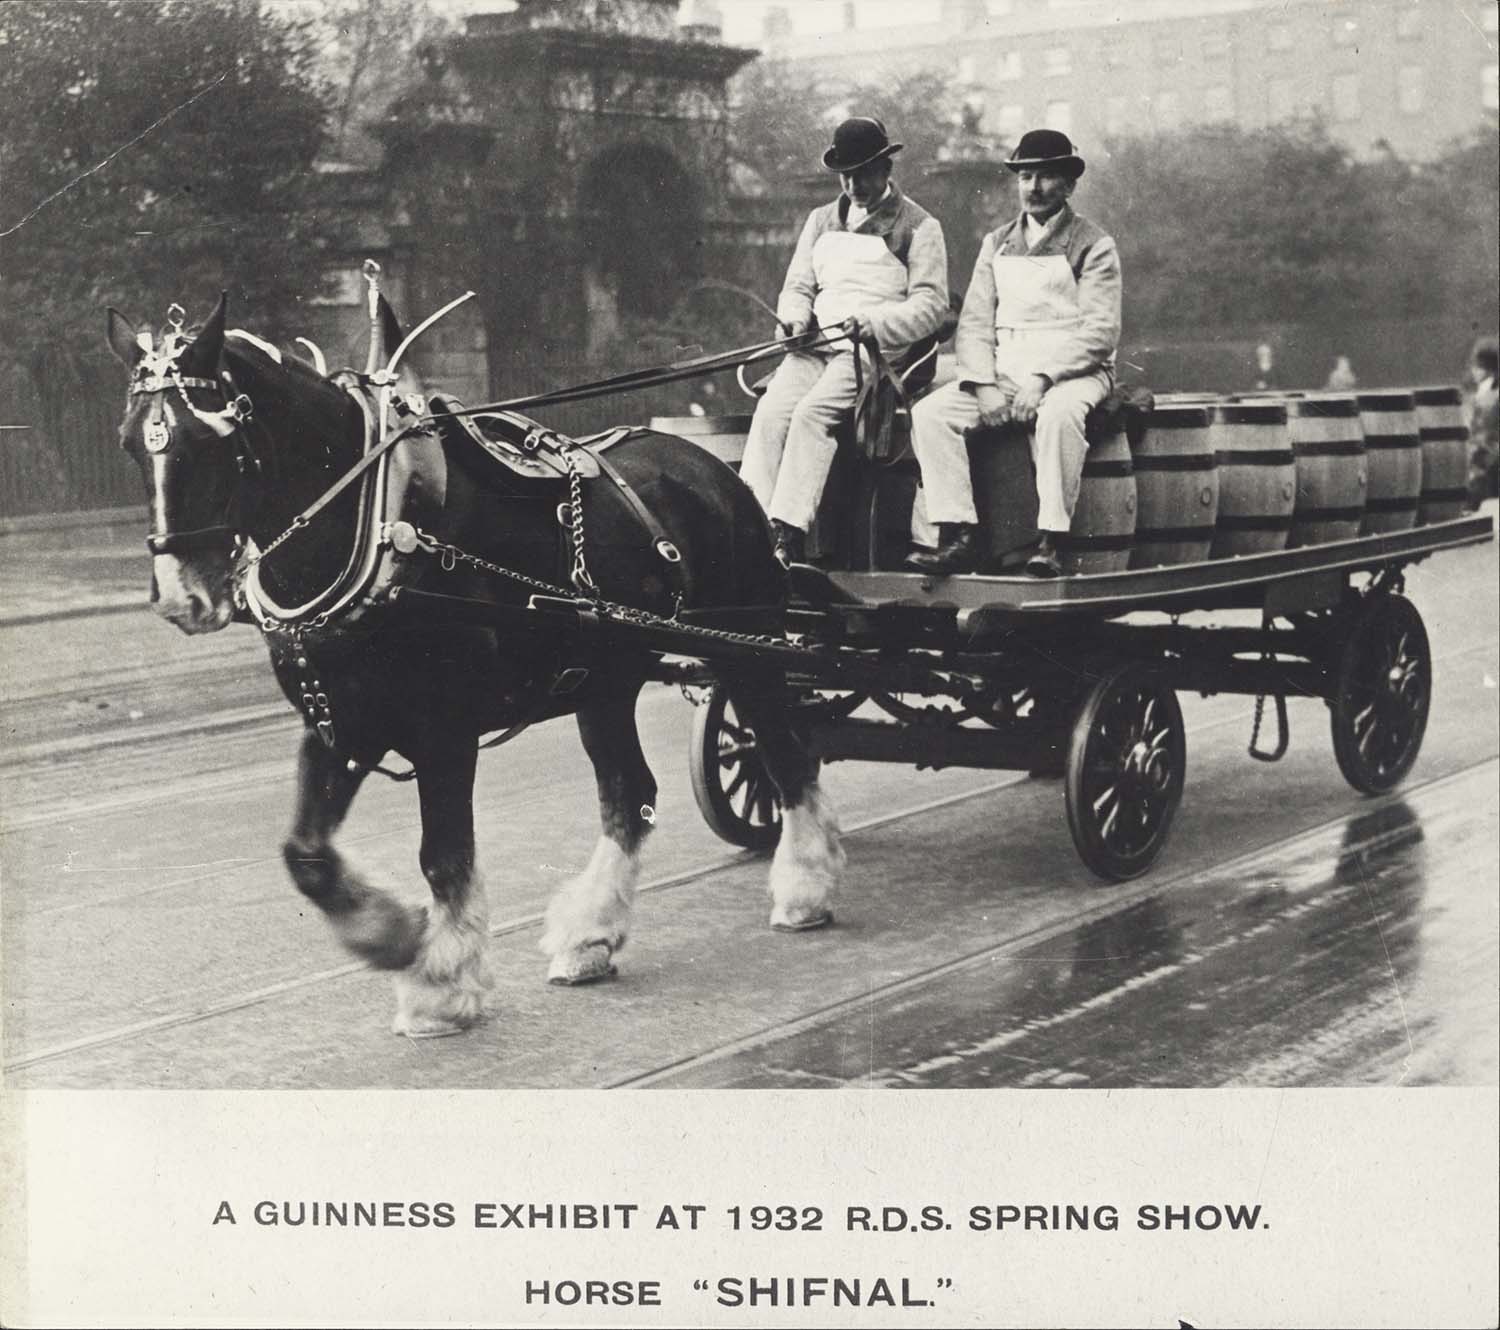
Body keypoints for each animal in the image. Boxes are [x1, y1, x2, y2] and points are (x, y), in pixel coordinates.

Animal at [108, 293, 846, 1037]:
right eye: (130, 441)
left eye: (210, 440)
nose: (179, 596)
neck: (384, 526)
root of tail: (711, 466)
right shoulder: (340, 725)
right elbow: (306, 856)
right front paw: (391, 935)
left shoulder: (444, 732)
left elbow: (445, 856)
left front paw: (438, 982)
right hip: (604, 681)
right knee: (628, 794)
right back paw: (590, 937)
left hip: (750, 652)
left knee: (786, 759)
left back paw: (805, 889)